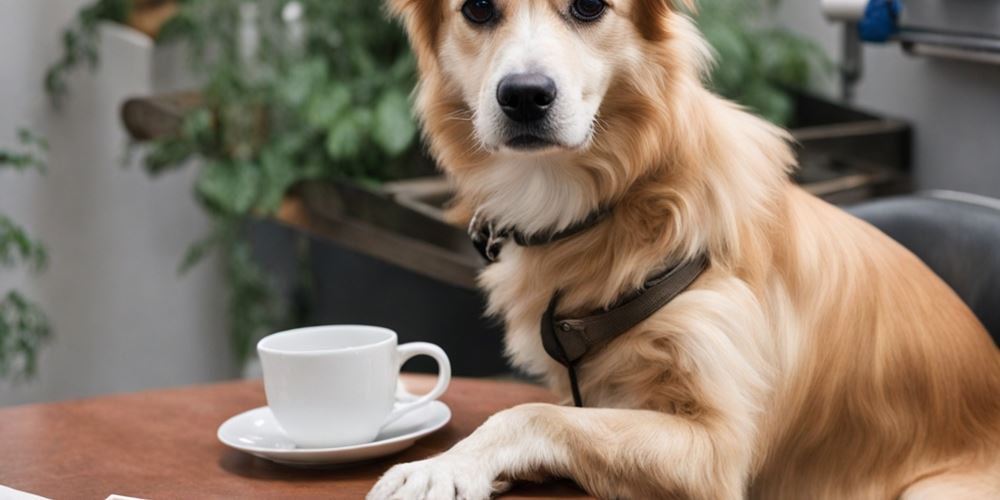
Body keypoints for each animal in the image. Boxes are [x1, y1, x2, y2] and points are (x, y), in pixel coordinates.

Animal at [372, 1, 1000, 498]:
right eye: (478, 9)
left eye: (588, 6)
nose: (525, 96)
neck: (610, 209)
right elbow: (559, 414)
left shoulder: (716, 449)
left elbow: (529, 413)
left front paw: (441, 467)